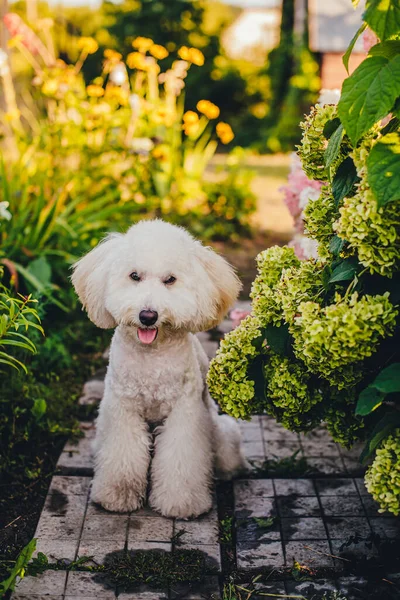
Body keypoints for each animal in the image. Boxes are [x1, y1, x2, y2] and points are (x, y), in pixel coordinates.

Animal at [71, 218, 247, 516]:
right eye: (134, 276)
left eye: (170, 280)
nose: (148, 315)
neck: (151, 357)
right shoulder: (122, 409)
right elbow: (123, 455)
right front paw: (116, 496)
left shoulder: (185, 413)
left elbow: (181, 461)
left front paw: (182, 503)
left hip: (219, 430)